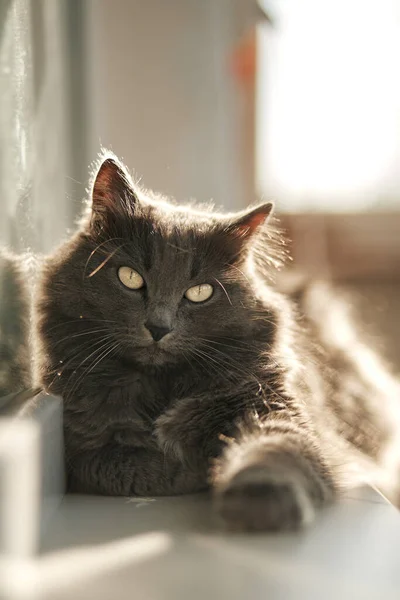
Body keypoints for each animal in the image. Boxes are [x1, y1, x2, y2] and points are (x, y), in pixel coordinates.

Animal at [33, 152, 400, 532]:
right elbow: (125, 466)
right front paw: (189, 468)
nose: (158, 327)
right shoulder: (86, 446)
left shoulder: (270, 405)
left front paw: (259, 501)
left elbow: (276, 449)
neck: (160, 387)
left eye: (199, 292)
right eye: (130, 277)